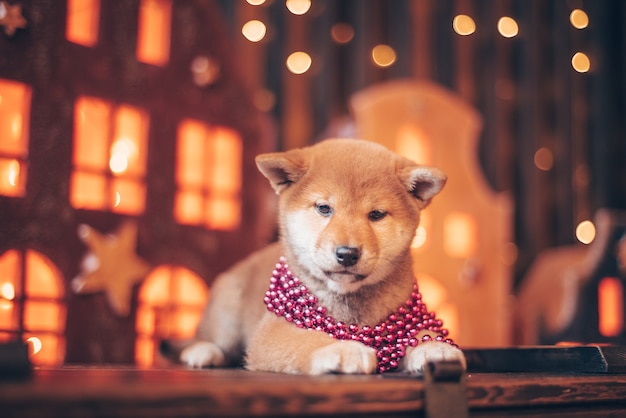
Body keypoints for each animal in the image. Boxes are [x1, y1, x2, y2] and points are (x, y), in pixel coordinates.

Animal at [180, 139, 464, 374]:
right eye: (324, 208)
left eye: (376, 214)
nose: (347, 254)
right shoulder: (272, 330)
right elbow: (306, 340)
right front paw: (340, 348)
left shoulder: (403, 319)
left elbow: (422, 331)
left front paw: (436, 347)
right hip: (227, 308)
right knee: (212, 340)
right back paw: (203, 351)